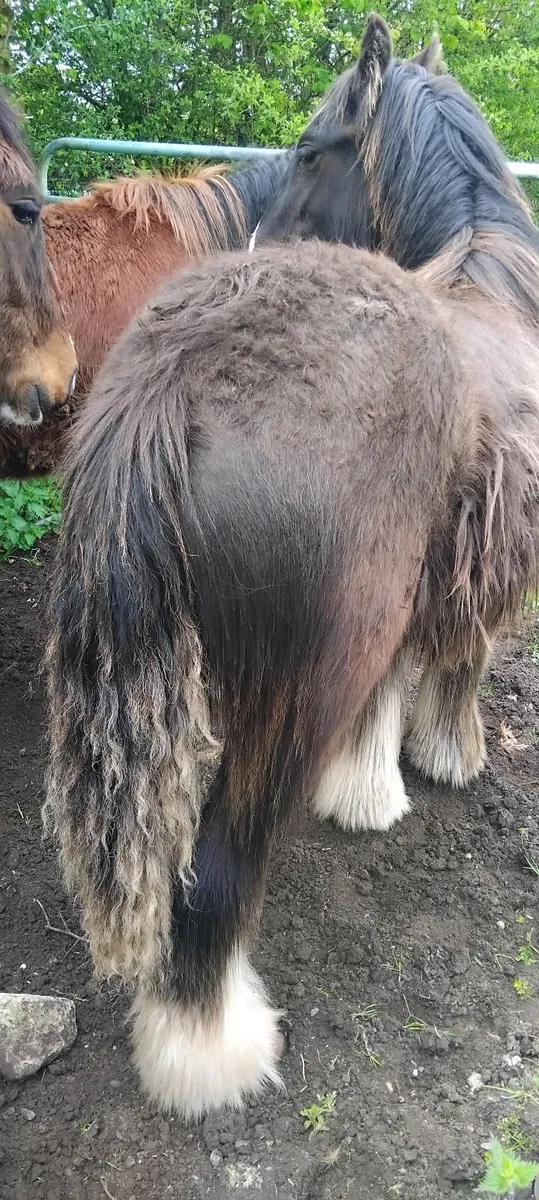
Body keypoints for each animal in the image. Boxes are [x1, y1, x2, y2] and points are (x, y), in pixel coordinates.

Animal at [45, 16, 539, 1121]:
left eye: (314, 150)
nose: (257, 237)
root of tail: (178, 370)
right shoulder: (473, 579)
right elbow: (461, 666)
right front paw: (448, 756)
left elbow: (386, 706)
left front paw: (366, 790)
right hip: (291, 691)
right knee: (220, 873)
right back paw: (209, 1053)